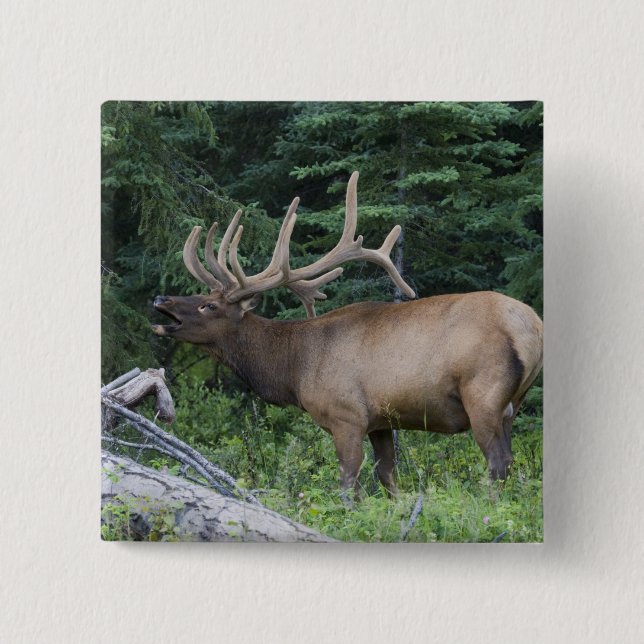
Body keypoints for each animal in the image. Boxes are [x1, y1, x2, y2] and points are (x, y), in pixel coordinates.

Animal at [152, 171, 543, 502]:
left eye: (208, 305)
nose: (160, 299)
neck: (295, 369)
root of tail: (533, 327)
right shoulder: (381, 421)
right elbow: (387, 478)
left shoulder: (346, 415)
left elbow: (347, 485)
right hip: (512, 403)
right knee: (511, 462)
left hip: (483, 392)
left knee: (498, 463)